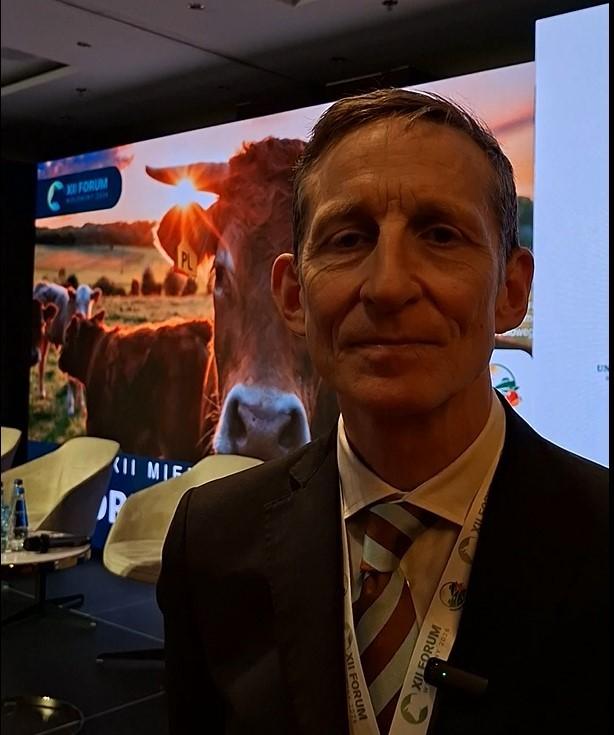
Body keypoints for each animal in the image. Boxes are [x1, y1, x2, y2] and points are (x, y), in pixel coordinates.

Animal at [32, 281, 102, 414]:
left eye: (89, 301)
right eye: (76, 300)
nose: (80, 315)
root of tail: (41, 284)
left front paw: (82, 405)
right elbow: (70, 379)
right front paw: (71, 407)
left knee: (42, 363)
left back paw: (41, 392)